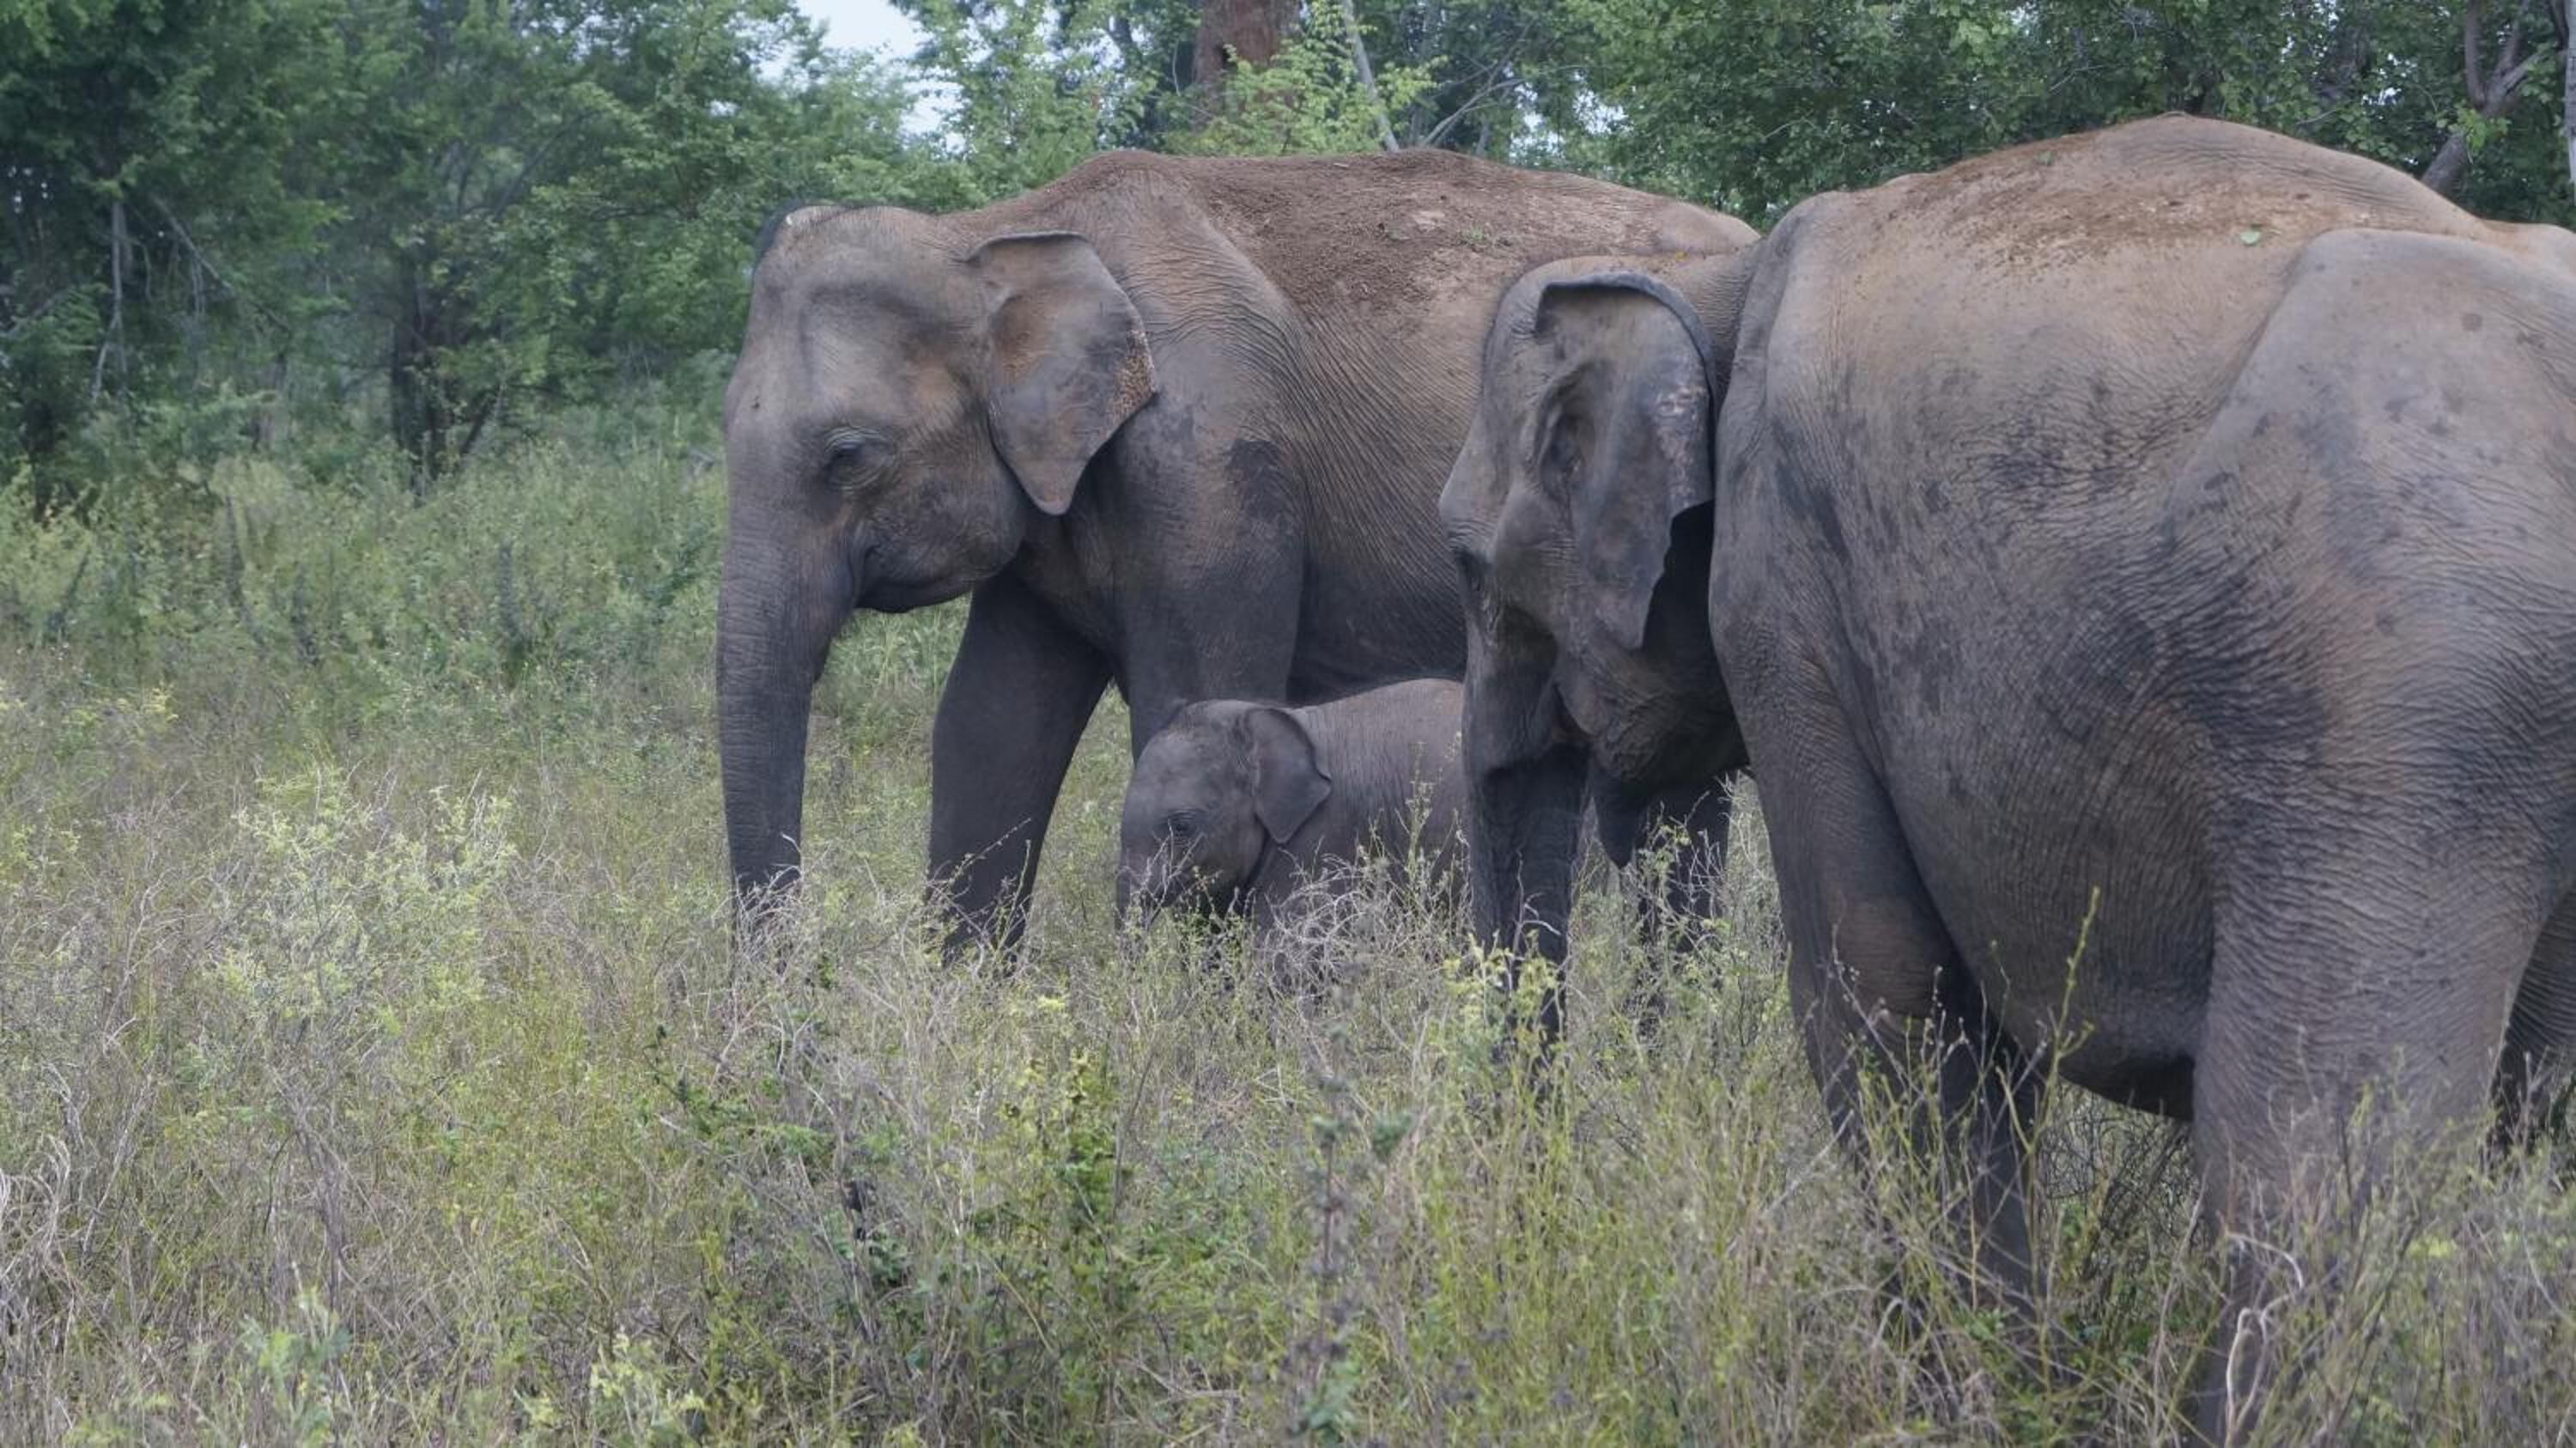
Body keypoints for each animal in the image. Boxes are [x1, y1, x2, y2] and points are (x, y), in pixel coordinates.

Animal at [1444, 115, 2576, 1439]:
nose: (1530, 1224)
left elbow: (1881, 991)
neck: (1708, 271)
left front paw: (1981, 1405)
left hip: (2384, 722)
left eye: (1464, 565)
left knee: (2311, 1145)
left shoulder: (1786, 607)